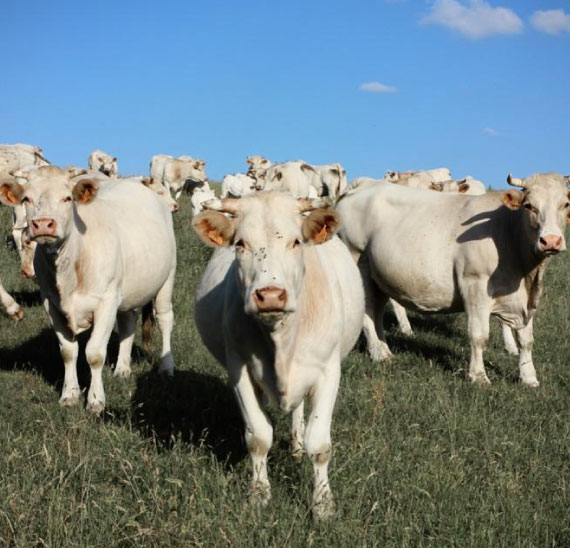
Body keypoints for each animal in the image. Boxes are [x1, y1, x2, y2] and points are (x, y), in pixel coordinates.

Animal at [0, 166, 177, 413]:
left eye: (67, 198)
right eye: (27, 198)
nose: (43, 224)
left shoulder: (106, 301)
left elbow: (94, 354)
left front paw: (95, 401)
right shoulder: (51, 304)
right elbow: (68, 352)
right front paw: (69, 394)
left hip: (166, 279)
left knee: (165, 318)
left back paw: (166, 366)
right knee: (128, 322)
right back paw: (122, 367)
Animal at [193, 192, 364, 519]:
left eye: (296, 242)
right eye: (240, 244)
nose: (270, 295)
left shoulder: (328, 371)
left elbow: (319, 444)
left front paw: (323, 504)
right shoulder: (240, 370)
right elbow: (259, 437)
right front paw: (259, 494)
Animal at [336, 173, 570, 387]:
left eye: (565, 204)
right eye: (529, 206)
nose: (551, 240)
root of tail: (365, 183)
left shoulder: (524, 300)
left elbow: (526, 340)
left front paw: (529, 377)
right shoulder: (475, 286)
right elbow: (479, 336)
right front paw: (478, 376)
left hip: (380, 276)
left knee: (376, 311)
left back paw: (384, 349)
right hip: (358, 262)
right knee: (367, 310)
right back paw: (379, 353)